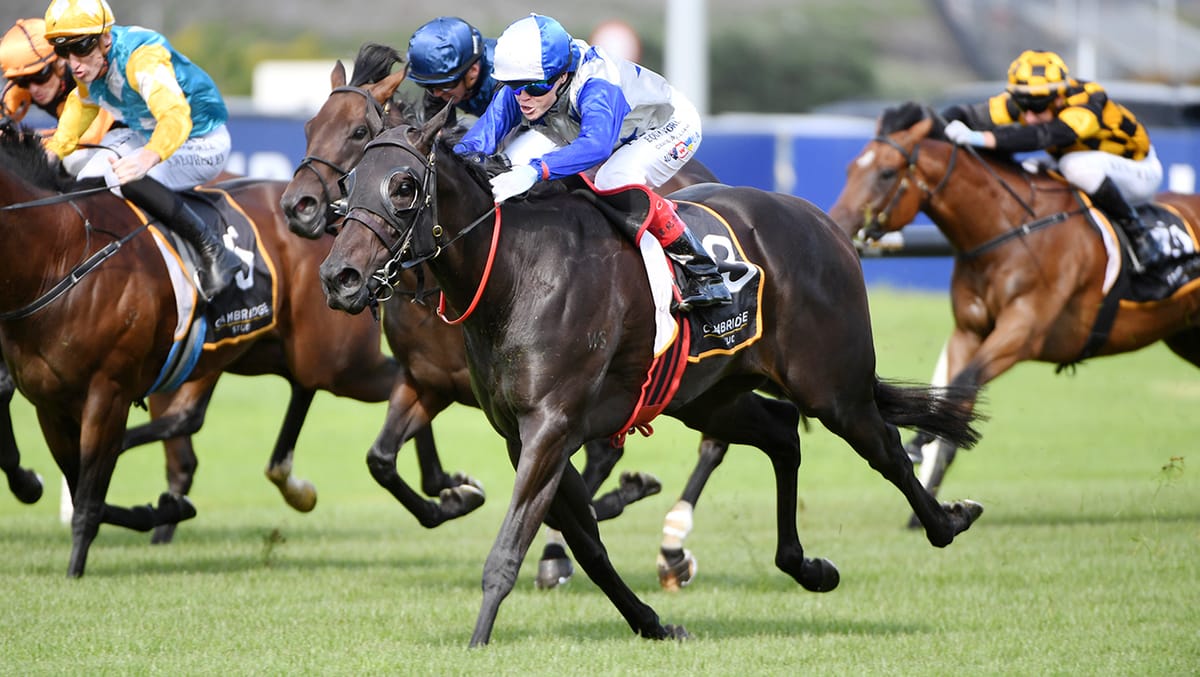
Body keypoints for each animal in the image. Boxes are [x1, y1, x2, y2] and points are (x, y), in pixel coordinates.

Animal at [279, 43, 727, 591]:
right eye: (309, 126)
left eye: (358, 131)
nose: (296, 207)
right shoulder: (425, 380)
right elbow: (382, 460)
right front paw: (454, 494)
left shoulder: (544, 397)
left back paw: (649, 544)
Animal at [318, 110, 985, 645]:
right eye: (350, 183)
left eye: (404, 186)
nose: (339, 277)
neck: (516, 272)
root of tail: (826, 223)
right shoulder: (523, 434)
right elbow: (585, 540)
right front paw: (654, 623)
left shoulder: (550, 427)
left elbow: (514, 542)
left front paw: (478, 641)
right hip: (710, 395)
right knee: (781, 432)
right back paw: (806, 566)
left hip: (832, 384)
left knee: (885, 448)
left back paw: (947, 521)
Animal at [828, 101, 1200, 511]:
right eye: (850, 168)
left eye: (886, 172)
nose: (837, 223)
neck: (1010, 229)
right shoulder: (969, 331)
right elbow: (952, 390)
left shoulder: (1024, 329)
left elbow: (964, 381)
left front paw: (918, 442)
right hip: (1186, 336)